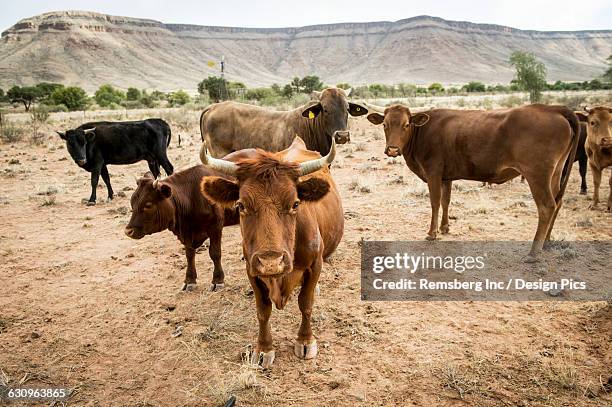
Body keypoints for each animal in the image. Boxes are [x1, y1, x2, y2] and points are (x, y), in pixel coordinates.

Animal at [198, 137, 342, 370]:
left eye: (295, 204)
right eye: (241, 205)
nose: (271, 263)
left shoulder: (314, 265)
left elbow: (306, 303)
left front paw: (305, 340)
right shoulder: (252, 270)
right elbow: (263, 310)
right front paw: (264, 348)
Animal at [366, 103, 580, 260]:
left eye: (406, 125)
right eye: (385, 125)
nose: (392, 149)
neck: (423, 132)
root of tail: (553, 108)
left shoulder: (433, 172)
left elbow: (435, 202)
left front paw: (432, 233)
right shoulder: (446, 177)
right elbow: (445, 201)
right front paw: (445, 228)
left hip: (537, 175)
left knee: (547, 206)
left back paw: (534, 251)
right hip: (555, 173)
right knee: (558, 203)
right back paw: (547, 241)